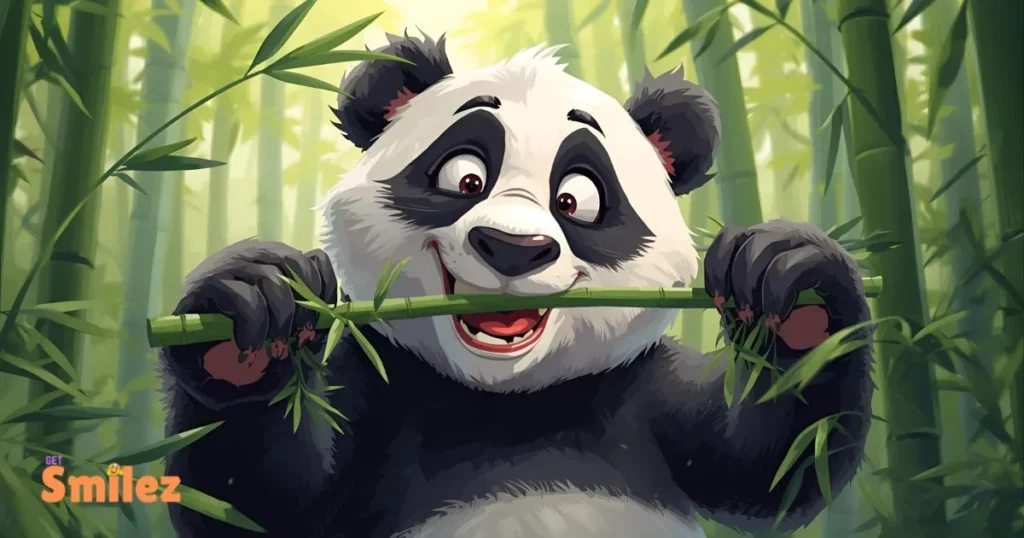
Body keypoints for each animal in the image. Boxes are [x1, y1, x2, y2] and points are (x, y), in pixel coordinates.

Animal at [159, 33, 873, 538]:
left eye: (578, 198)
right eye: (464, 177)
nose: (513, 247)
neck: (509, 403)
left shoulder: (639, 391)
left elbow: (767, 466)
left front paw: (789, 285)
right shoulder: (384, 385)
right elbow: (262, 501)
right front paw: (253, 313)